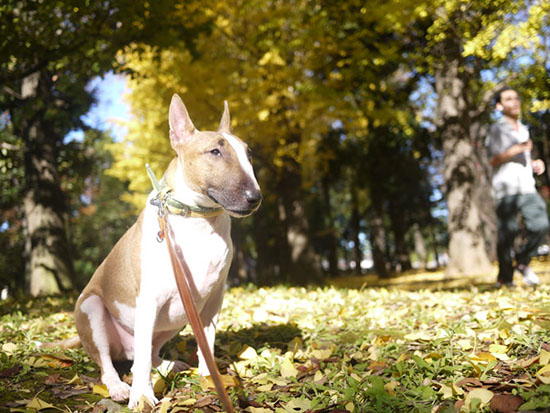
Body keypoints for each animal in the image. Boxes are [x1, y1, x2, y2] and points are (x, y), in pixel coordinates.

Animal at [74, 95, 264, 408]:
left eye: (248, 155)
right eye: (215, 151)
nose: (255, 198)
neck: (198, 220)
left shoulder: (213, 299)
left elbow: (207, 340)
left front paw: (208, 376)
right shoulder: (149, 299)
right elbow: (139, 363)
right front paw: (141, 396)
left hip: (176, 320)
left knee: (147, 354)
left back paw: (169, 365)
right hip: (92, 309)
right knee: (113, 362)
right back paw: (119, 386)